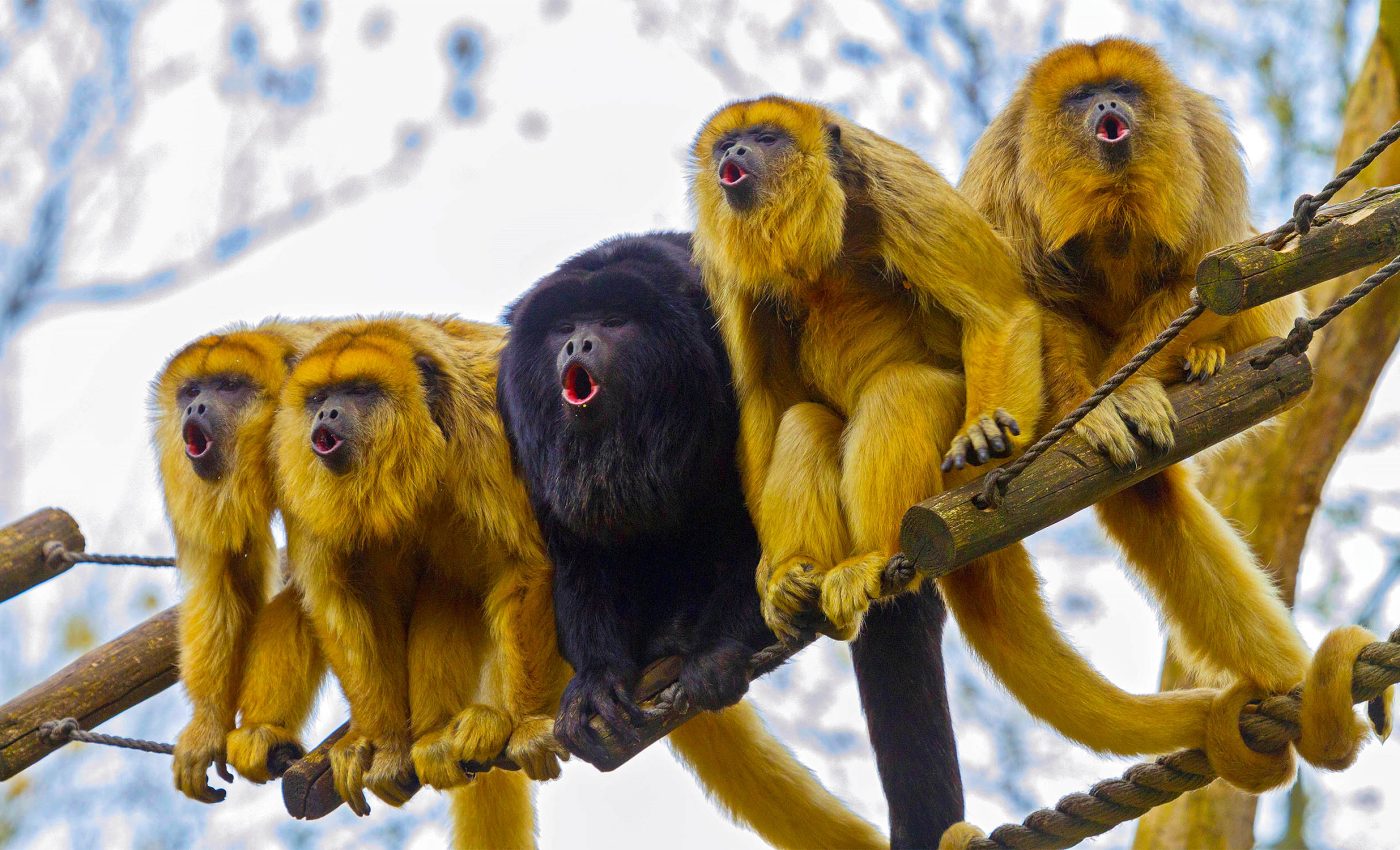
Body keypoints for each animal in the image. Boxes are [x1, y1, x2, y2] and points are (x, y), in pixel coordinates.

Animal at [499, 231, 959, 847]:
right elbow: (577, 555)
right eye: (563, 325)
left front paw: (718, 652)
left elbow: (752, 522)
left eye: (616, 321)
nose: (578, 343)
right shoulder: (519, 423)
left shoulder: (724, 355)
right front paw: (597, 680)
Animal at [692, 95, 1233, 762]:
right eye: (727, 145)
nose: (736, 153)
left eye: (766, 139)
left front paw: (981, 426)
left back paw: (877, 557)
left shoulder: (893, 182)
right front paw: (769, 574)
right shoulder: (722, 266)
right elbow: (764, 397)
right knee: (803, 420)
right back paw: (801, 576)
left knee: (904, 389)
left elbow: (999, 310)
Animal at [958, 38, 1312, 697]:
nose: (1107, 103)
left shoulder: (1205, 137)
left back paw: (1202, 358)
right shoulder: (999, 168)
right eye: (1082, 96)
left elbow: (1205, 268)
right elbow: (1028, 303)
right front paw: (1088, 415)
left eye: (1122, 88)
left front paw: (1133, 393)